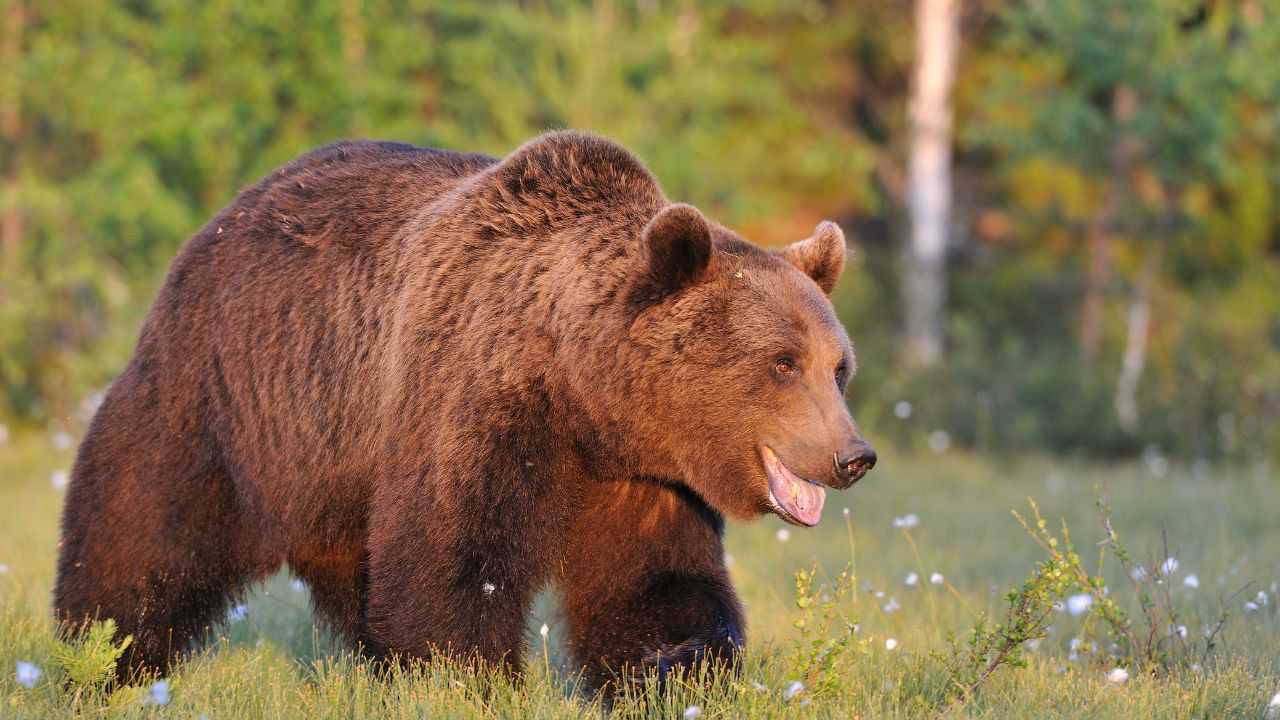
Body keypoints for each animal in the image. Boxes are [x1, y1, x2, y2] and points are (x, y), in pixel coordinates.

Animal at [57, 130, 880, 691]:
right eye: (781, 363)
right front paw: (470, 679)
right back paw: (97, 656)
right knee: (141, 529)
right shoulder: (472, 400)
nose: (853, 456)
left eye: (838, 367)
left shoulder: (643, 477)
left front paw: (673, 668)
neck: (582, 394)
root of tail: (222, 219)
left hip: (336, 466)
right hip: (225, 400)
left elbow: (658, 585)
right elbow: (452, 563)